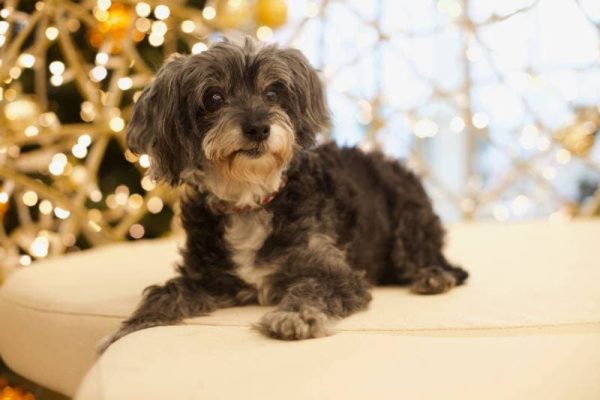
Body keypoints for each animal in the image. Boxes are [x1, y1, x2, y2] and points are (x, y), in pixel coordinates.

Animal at [101, 37, 468, 350]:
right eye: (214, 98)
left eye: (273, 93)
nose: (258, 127)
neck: (251, 199)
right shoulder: (203, 277)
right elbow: (164, 295)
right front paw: (129, 328)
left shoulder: (333, 271)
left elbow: (313, 289)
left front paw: (295, 316)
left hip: (408, 219)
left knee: (435, 260)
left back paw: (434, 277)